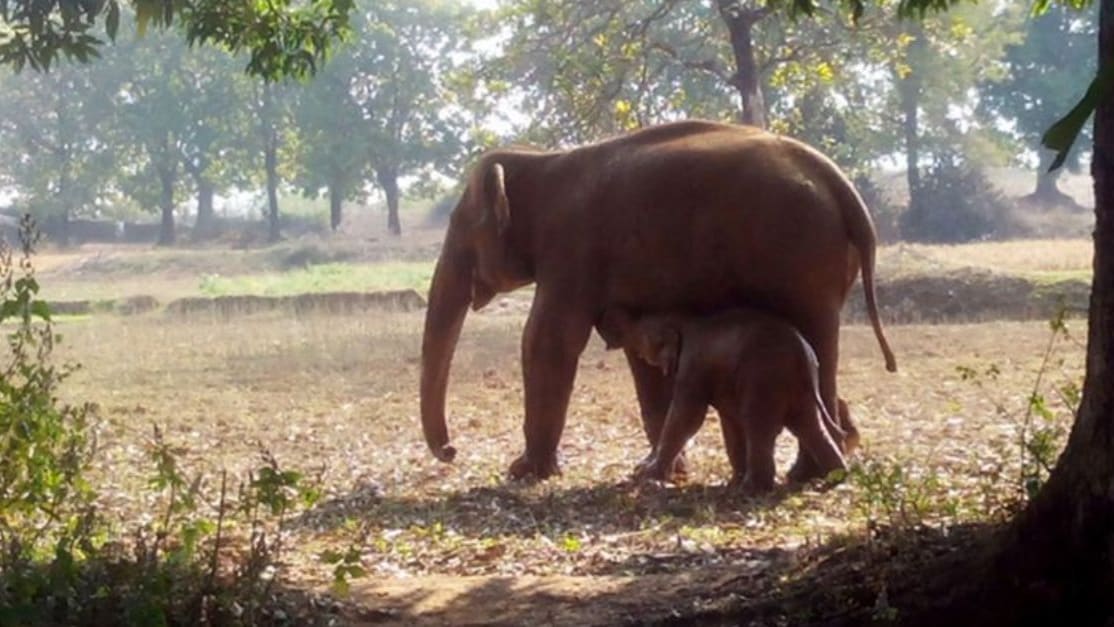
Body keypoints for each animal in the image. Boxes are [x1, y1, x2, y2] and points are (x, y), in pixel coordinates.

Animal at [601, 307, 842, 492]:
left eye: (642, 334)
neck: (681, 321)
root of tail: (803, 352)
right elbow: (729, 420)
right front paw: (732, 481)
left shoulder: (693, 366)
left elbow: (689, 416)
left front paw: (648, 477)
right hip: (798, 388)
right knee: (809, 425)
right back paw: (838, 477)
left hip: (764, 377)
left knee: (758, 423)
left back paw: (750, 490)